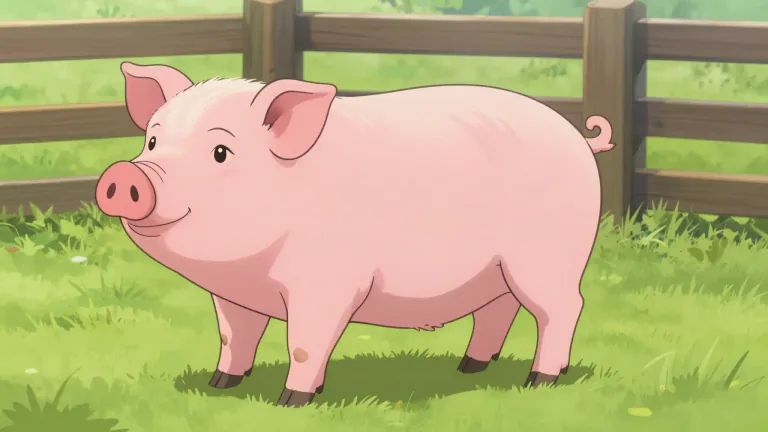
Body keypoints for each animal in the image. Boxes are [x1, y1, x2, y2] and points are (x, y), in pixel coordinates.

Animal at [95, 61, 615, 407]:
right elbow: (233, 337)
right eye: (153, 140)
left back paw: (540, 381)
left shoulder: (328, 284)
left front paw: (292, 402)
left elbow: (304, 342)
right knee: (498, 311)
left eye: (221, 152)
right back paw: (470, 367)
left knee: (564, 309)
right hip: (497, 270)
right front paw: (219, 385)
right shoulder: (232, 295)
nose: (126, 175)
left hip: (549, 258)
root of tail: (580, 138)